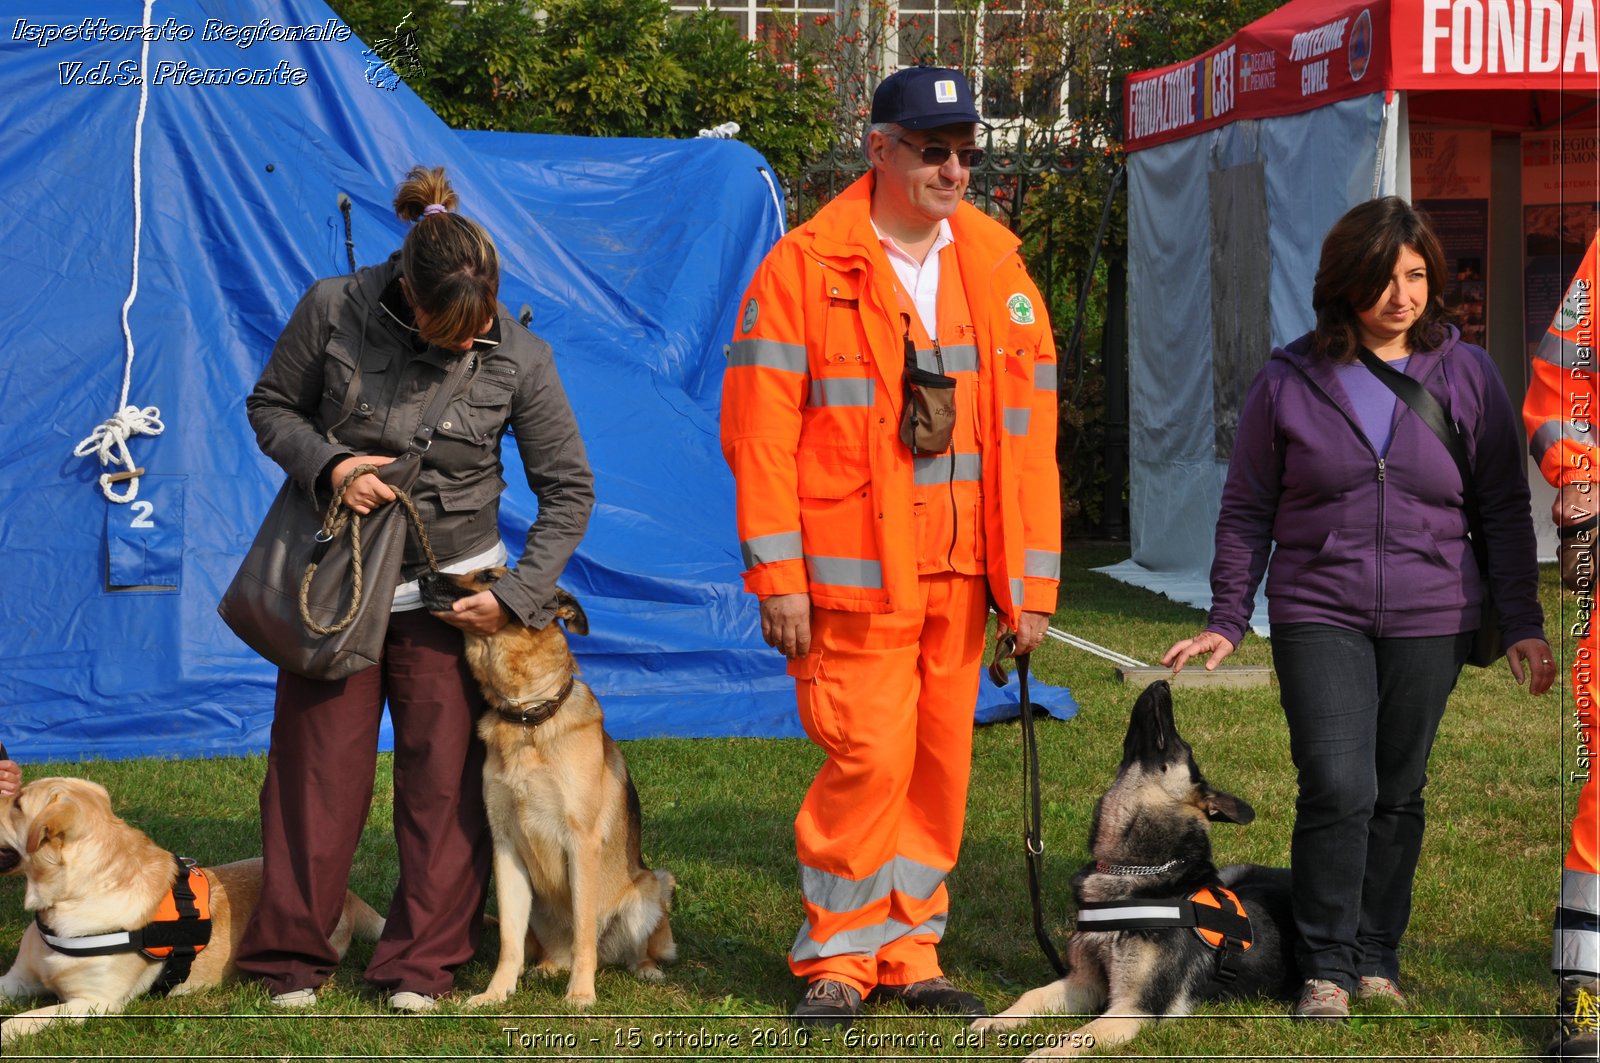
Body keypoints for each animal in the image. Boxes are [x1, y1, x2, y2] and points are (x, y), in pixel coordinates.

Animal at [0, 781, 384, 1043]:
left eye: (17, 803)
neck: (65, 903)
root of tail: (349, 895)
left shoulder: (94, 1002)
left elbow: (24, 1018)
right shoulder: (18, 979)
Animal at [416, 569, 672, 1011]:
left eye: (489, 576)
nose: (423, 575)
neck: (527, 719)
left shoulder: (581, 843)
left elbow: (584, 931)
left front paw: (581, 994)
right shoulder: (504, 847)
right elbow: (508, 941)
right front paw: (495, 993)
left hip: (651, 888)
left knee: (628, 950)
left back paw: (644, 969)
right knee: (544, 949)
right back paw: (548, 967)